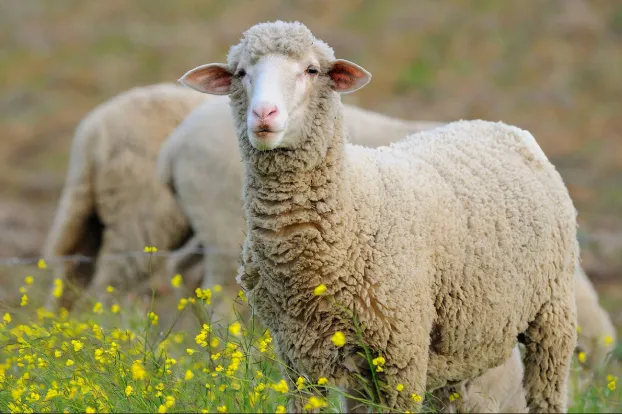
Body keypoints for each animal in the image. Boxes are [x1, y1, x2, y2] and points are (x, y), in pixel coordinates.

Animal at [180, 20, 580, 414]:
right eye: (241, 73)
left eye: (311, 70)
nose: (264, 115)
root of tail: (499, 126)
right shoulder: (297, 354)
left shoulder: (402, 348)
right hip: (456, 339)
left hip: (553, 313)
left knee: (547, 390)